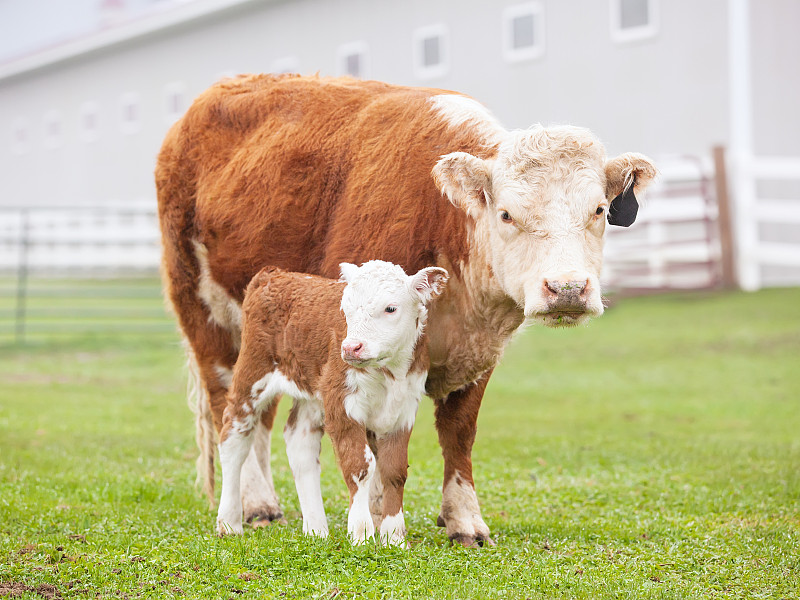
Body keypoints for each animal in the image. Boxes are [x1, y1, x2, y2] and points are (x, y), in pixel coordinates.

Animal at [216, 260, 446, 548]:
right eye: (345, 308)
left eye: (391, 308)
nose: (351, 347)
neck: (389, 372)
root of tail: (274, 274)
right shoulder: (342, 402)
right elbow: (360, 465)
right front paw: (361, 533)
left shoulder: (404, 409)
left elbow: (394, 470)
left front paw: (394, 537)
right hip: (252, 372)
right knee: (233, 438)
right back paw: (228, 522)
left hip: (311, 391)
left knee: (299, 442)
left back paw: (316, 529)